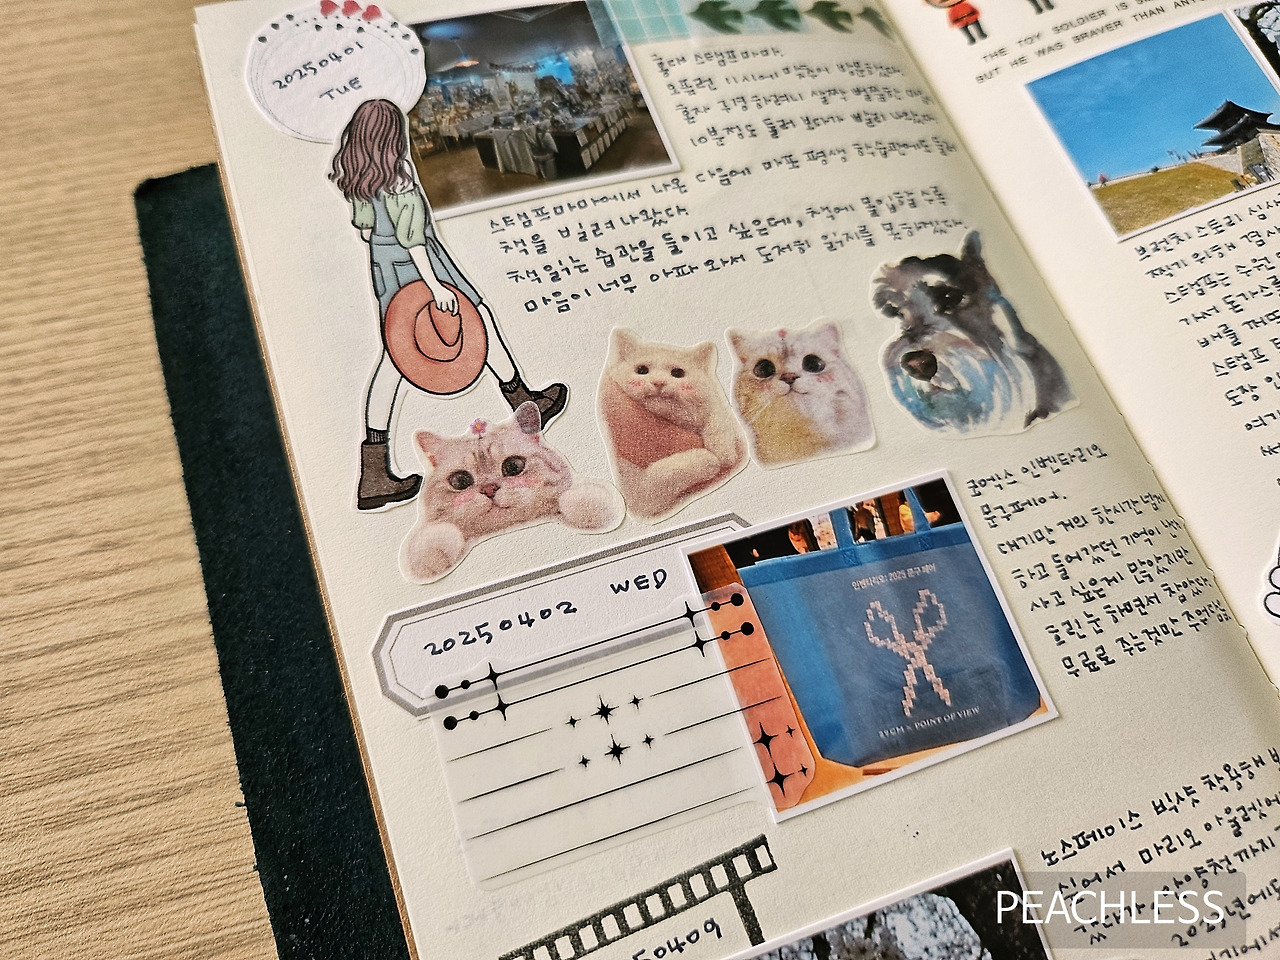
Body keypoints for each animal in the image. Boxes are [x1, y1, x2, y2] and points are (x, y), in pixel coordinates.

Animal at [598, 328, 746, 520]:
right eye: (642, 370)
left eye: (677, 373)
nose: (659, 382)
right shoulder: (641, 498)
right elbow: (663, 474)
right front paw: (707, 459)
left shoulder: (716, 406)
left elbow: (718, 418)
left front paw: (724, 452)